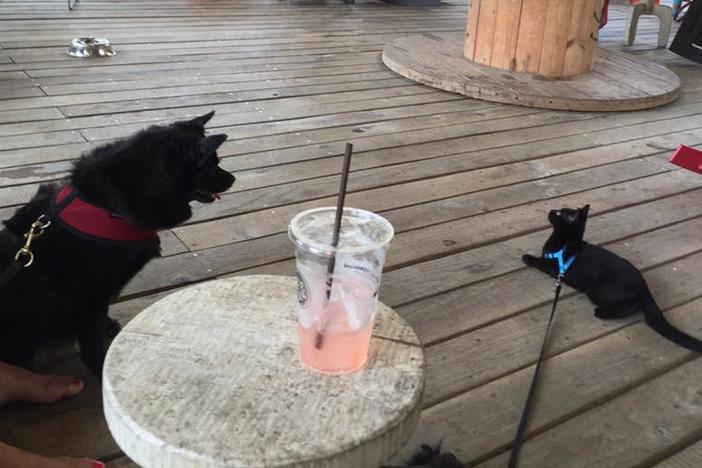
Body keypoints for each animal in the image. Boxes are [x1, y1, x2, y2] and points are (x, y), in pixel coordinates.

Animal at [0, 109, 236, 372]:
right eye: (212, 166)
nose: (233, 179)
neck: (109, 208)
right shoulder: (91, 299)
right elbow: (92, 346)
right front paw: (99, 368)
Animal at [524, 205, 702, 352]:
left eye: (560, 214)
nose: (551, 211)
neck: (566, 241)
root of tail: (645, 289)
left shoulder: (554, 268)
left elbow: (540, 261)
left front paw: (527, 257)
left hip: (597, 289)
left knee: (632, 303)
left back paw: (602, 312)